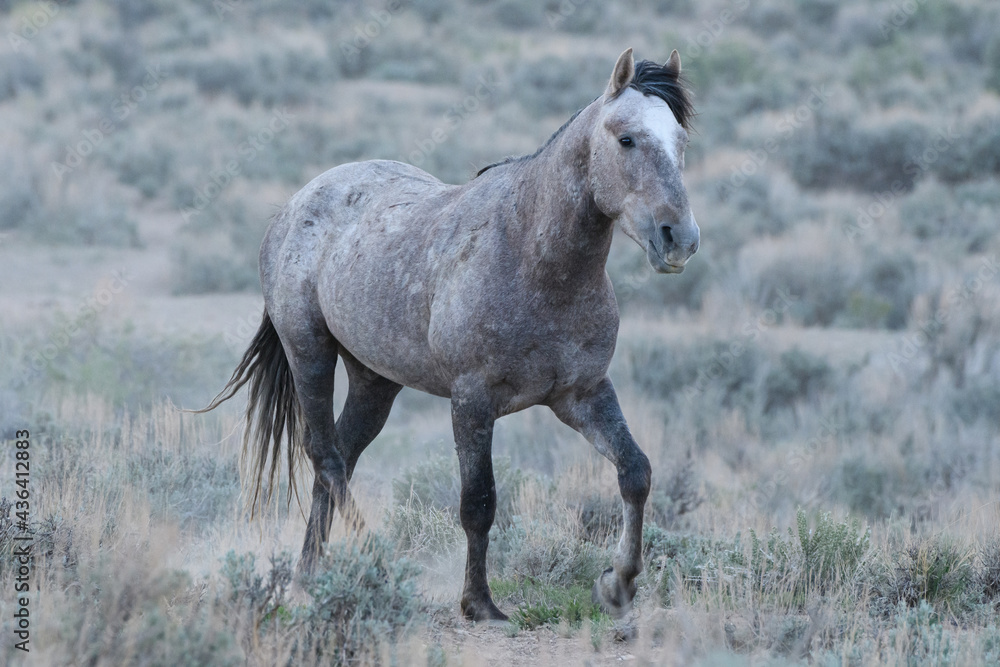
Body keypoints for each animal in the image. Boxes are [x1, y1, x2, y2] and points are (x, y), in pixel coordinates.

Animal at [199, 48, 698, 621]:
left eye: (681, 141)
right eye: (626, 139)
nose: (679, 239)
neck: (535, 260)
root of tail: (296, 204)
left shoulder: (583, 394)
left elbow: (635, 471)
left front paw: (618, 583)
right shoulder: (472, 401)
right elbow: (478, 502)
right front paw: (479, 602)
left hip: (375, 381)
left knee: (342, 455)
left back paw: (309, 575)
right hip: (310, 353)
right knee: (325, 455)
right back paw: (374, 561)